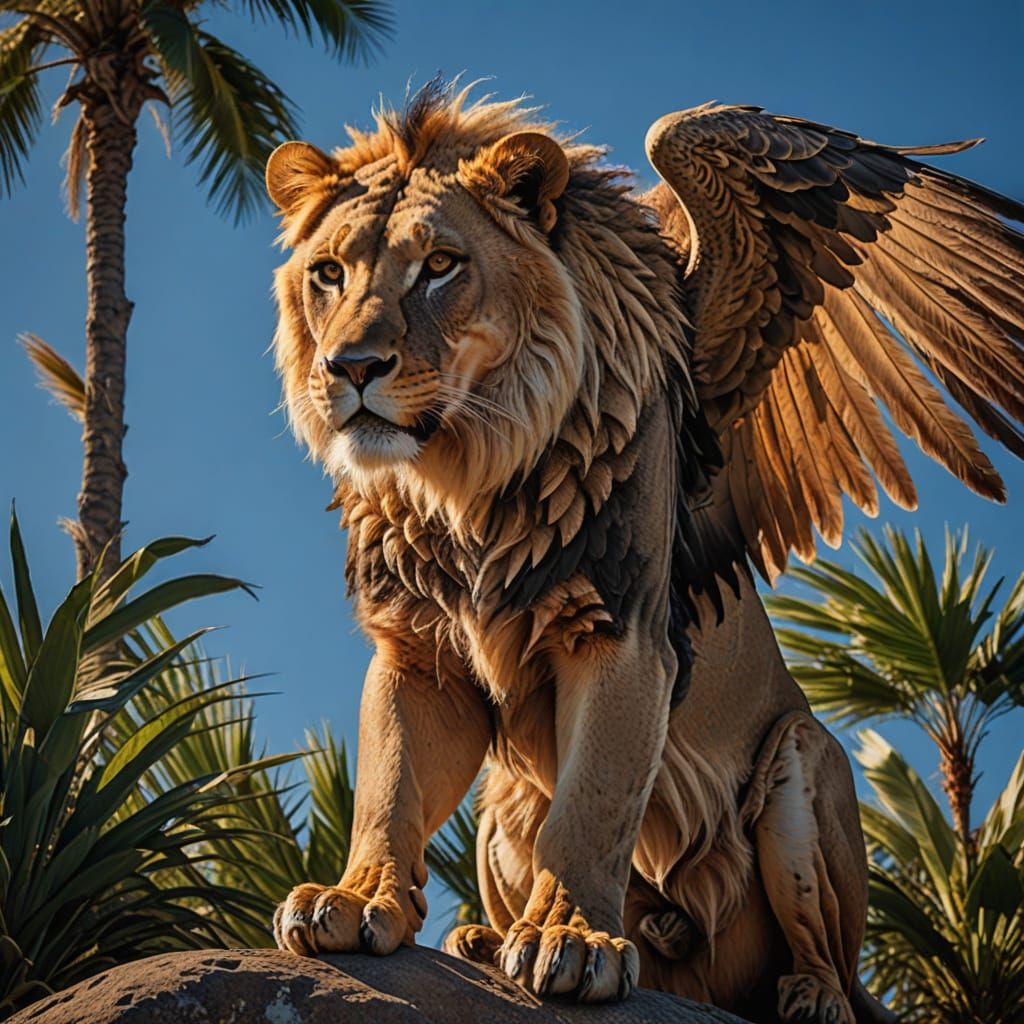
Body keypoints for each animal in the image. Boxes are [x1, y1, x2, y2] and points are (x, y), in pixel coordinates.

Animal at [265, 80, 1024, 1023]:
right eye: (329, 273)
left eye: (440, 264)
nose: (351, 367)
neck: (461, 477)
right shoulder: (417, 651)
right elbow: (389, 788)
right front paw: (356, 899)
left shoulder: (622, 635)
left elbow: (591, 808)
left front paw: (573, 942)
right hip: (500, 802)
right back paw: (478, 939)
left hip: (803, 763)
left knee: (832, 967)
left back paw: (805, 995)